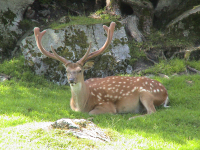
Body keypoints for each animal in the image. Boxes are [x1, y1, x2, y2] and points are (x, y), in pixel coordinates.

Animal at [34, 22, 169, 118]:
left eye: (80, 70)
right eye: (67, 71)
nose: (71, 80)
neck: (82, 105)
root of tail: (166, 93)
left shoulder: (107, 105)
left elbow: (92, 113)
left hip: (146, 93)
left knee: (152, 111)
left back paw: (132, 117)